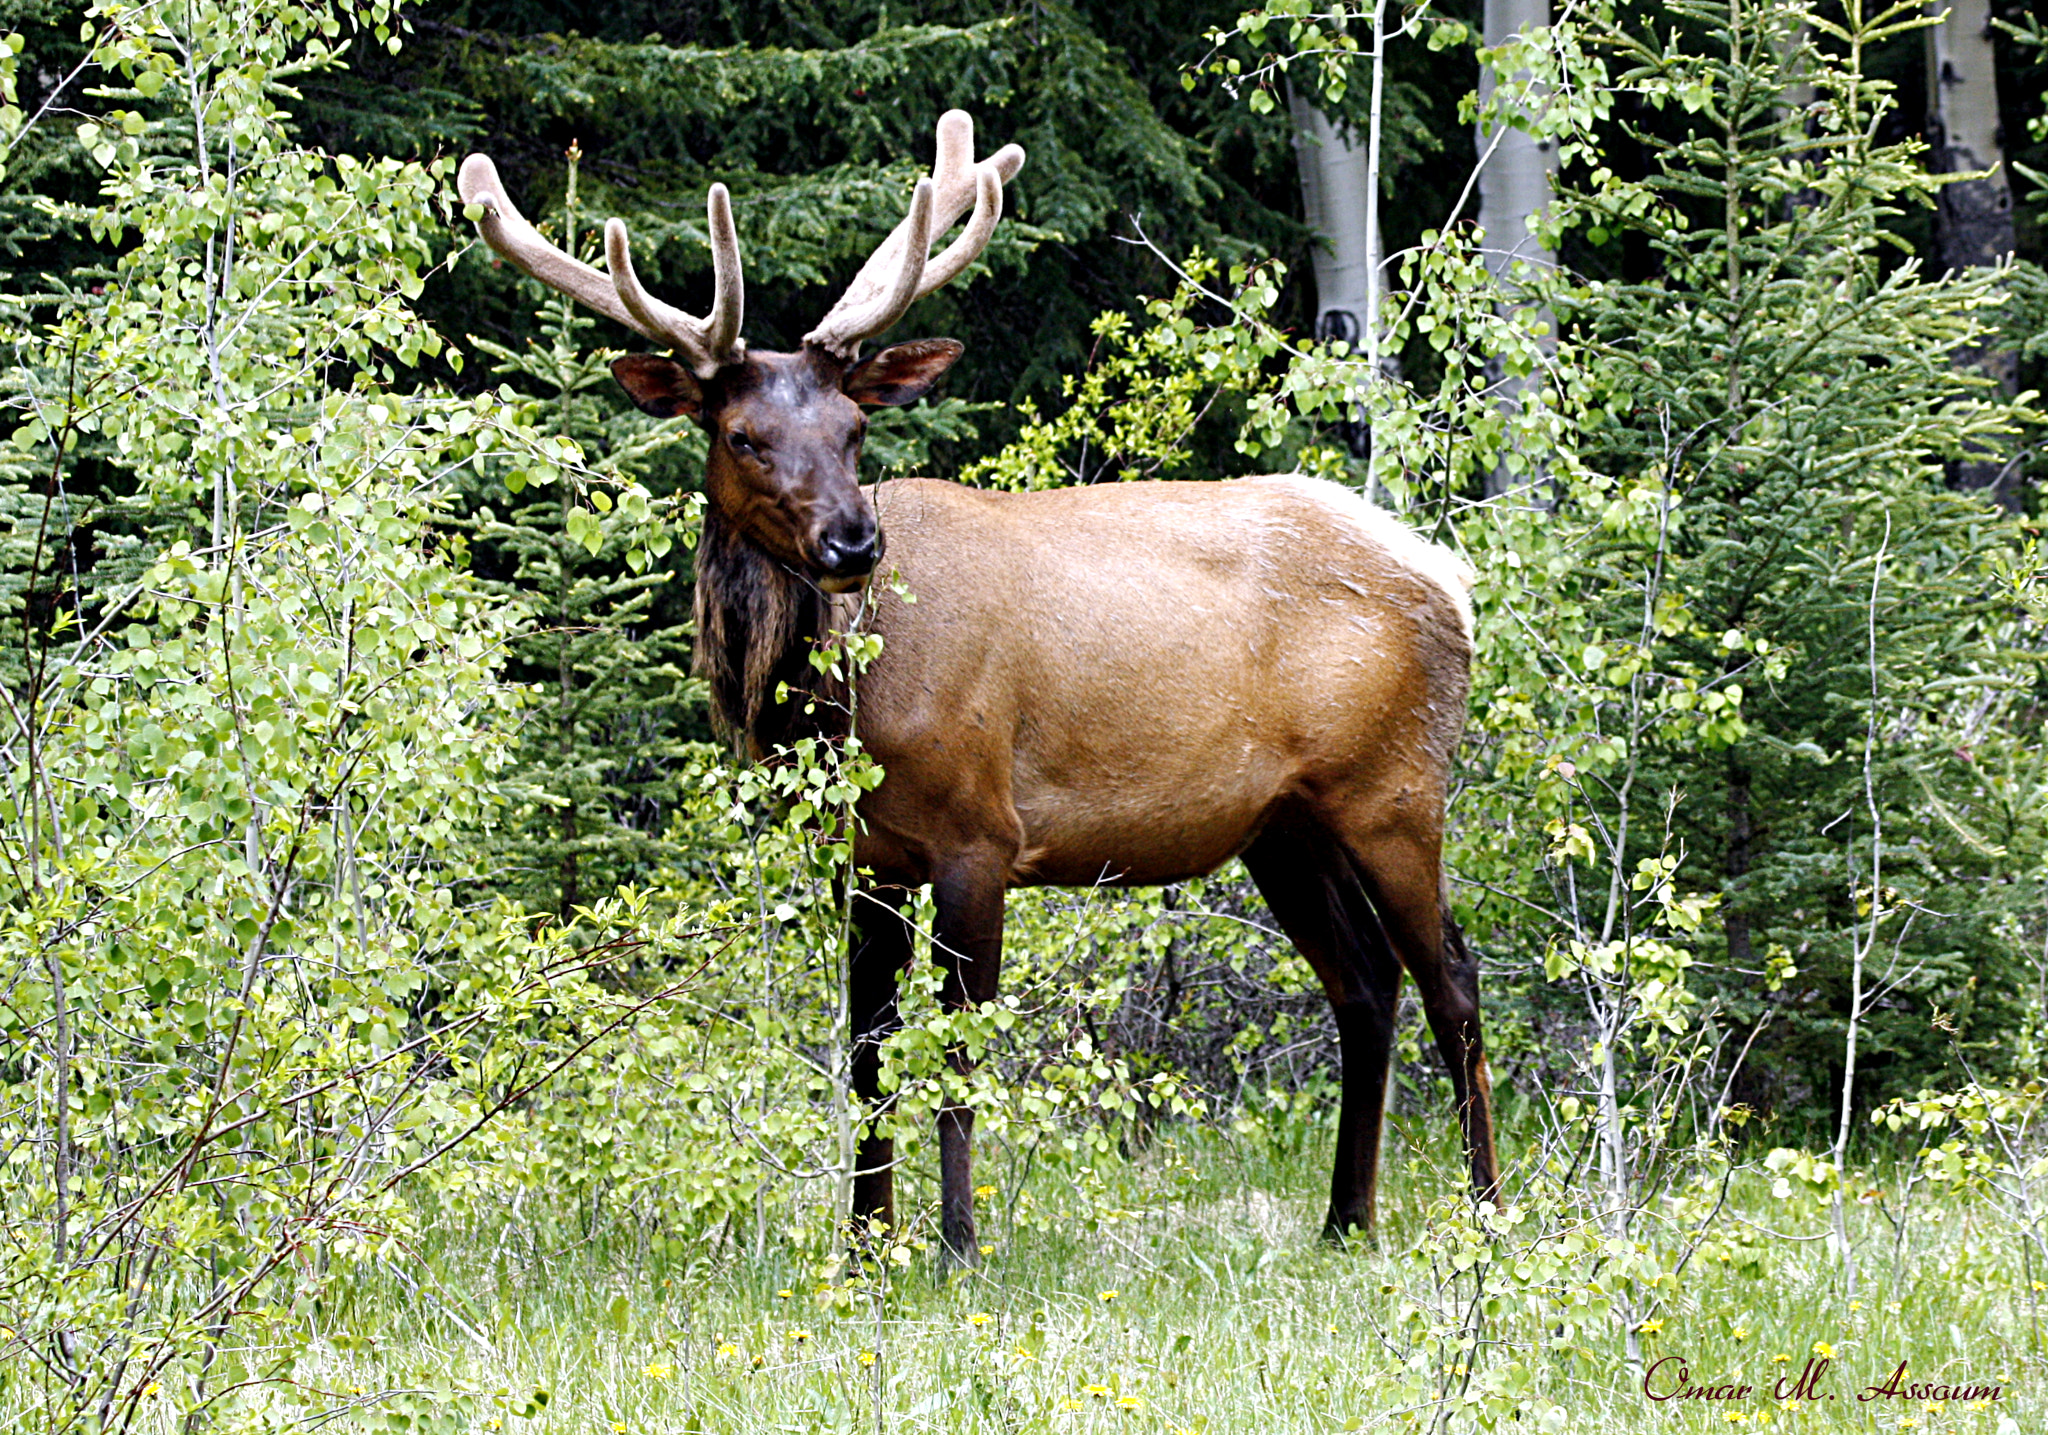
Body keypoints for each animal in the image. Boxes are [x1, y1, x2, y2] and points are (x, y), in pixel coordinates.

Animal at [458, 111, 1500, 1265]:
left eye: (855, 432)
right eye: (741, 435)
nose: (852, 541)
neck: (841, 715)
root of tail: (1453, 583)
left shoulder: (979, 833)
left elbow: (955, 1052)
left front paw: (956, 1243)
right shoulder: (865, 857)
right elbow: (867, 1051)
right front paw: (865, 1242)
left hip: (1393, 789)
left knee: (1452, 979)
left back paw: (1485, 1213)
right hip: (1282, 824)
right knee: (1363, 982)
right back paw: (1344, 1218)